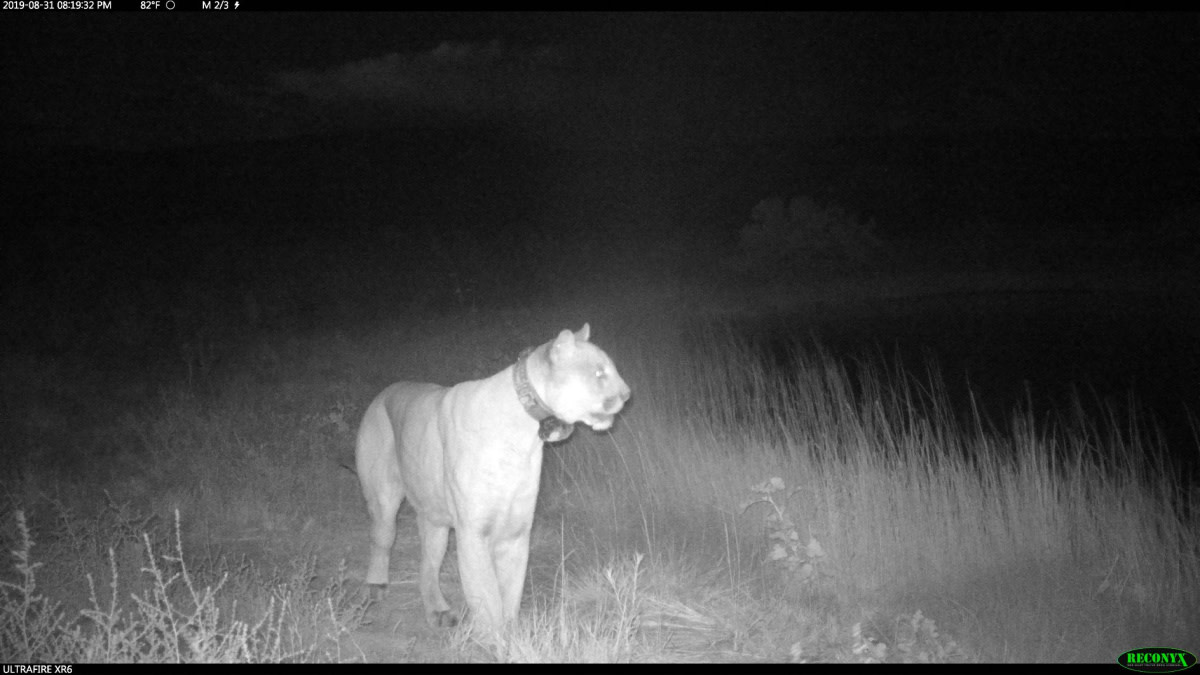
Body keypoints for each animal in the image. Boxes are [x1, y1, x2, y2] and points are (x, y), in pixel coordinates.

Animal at [355, 324, 630, 631]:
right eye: (599, 373)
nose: (627, 395)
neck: (525, 435)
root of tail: (384, 393)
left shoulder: (516, 530)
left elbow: (510, 591)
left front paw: (512, 633)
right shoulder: (473, 531)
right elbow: (486, 596)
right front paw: (494, 636)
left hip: (434, 517)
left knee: (429, 562)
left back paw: (438, 610)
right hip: (384, 499)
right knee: (382, 539)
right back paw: (376, 585)